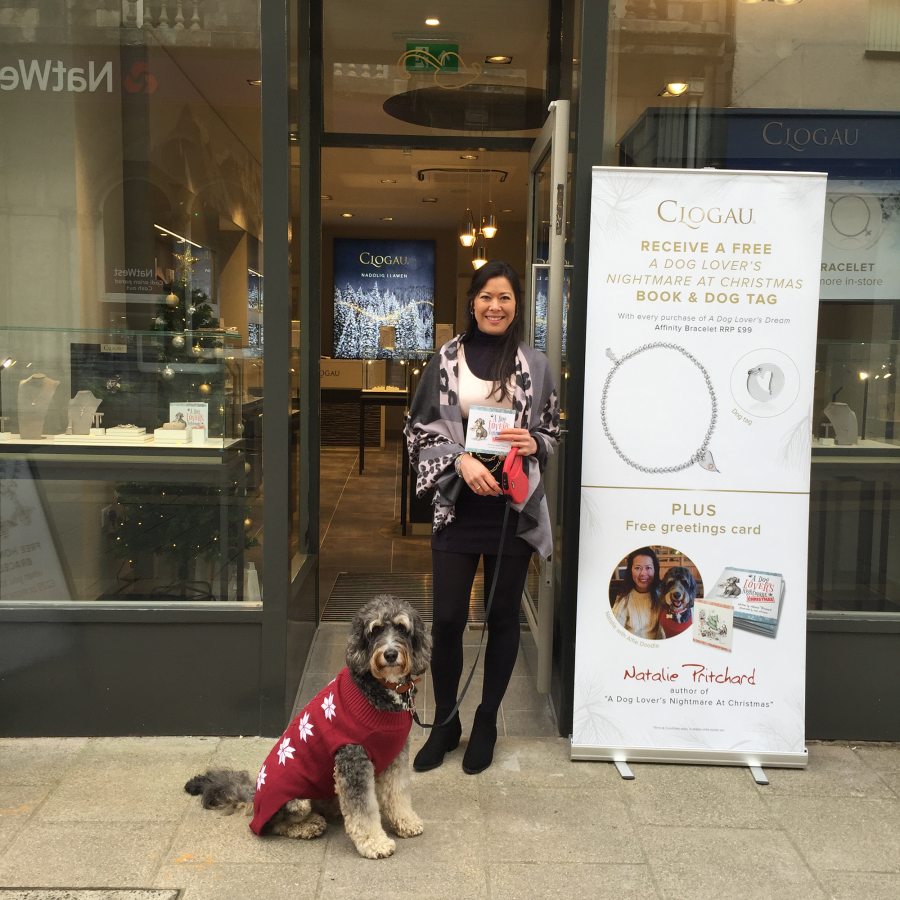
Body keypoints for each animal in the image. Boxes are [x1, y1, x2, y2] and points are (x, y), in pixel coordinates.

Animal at [183, 596, 428, 860]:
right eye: (376, 630)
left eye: (402, 628)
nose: (391, 654)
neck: (380, 690)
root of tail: (255, 797)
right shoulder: (352, 760)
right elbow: (363, 810)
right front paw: (374, 843)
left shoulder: (395, 756)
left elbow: (398, 792)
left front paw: (405, 822)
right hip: (294, 801)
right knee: (272, 826)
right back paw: (309, 825)